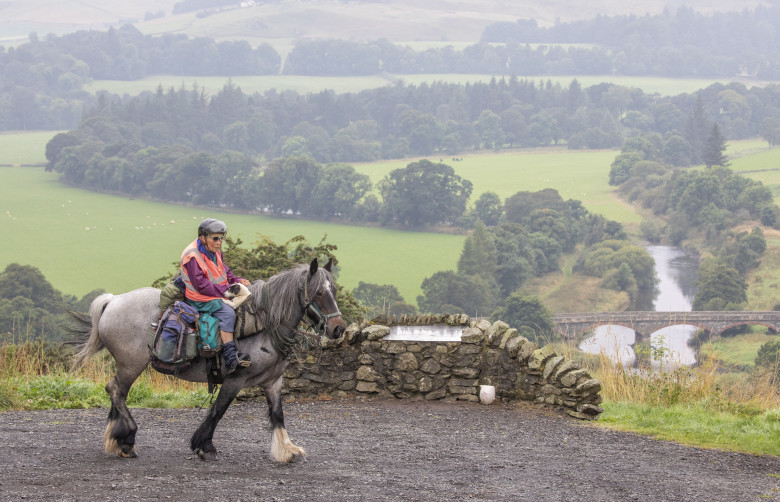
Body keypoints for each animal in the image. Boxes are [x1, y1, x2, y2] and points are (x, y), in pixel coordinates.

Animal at [70, 258, 344, 462]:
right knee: (115, 390)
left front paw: (287, 450)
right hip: (132, 364)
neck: (265, 324)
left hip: (127, 366)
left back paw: (118, 440)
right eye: (319, 293)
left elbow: (278, 415)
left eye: (334, 290)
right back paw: (127, 439)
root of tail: (112, 301)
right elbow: (218, 410)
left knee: (118, 393)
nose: (338, 329)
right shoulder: (235, 379)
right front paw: (204, 446)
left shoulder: (273, 382)